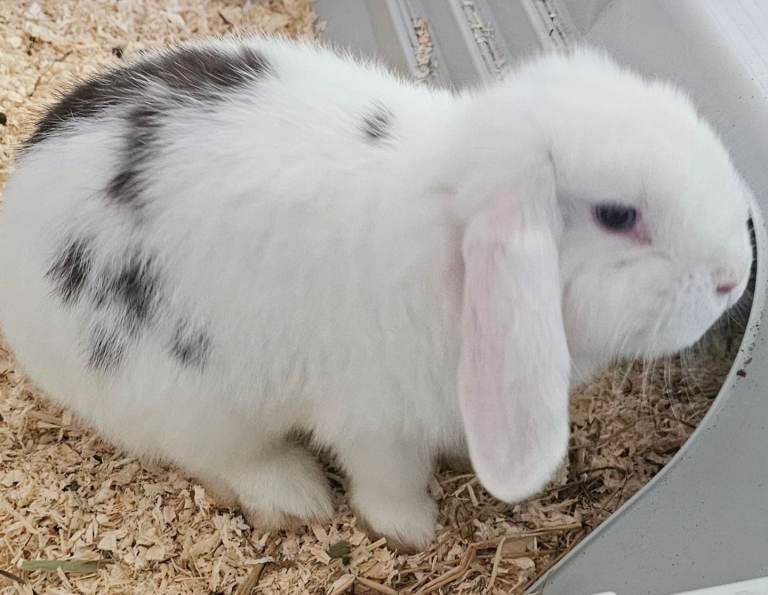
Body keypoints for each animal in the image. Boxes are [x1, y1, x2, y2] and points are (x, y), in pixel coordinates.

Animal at [0, 36, 753, 552]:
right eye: (618, 216)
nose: (736, 275)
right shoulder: (375, 421)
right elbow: (389, 481)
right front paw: (413, 531)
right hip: (184, 400)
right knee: (224, 457)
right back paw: (296, 498)